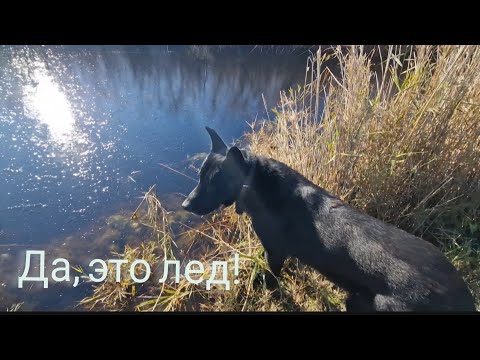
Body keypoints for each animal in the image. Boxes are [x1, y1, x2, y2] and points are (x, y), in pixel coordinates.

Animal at [183, 127, 476, 312]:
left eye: (213, 182)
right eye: (200, 176)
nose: (186, 205)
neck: (253, 181)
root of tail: (464, 299)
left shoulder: (274, 252)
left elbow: (272, 277)